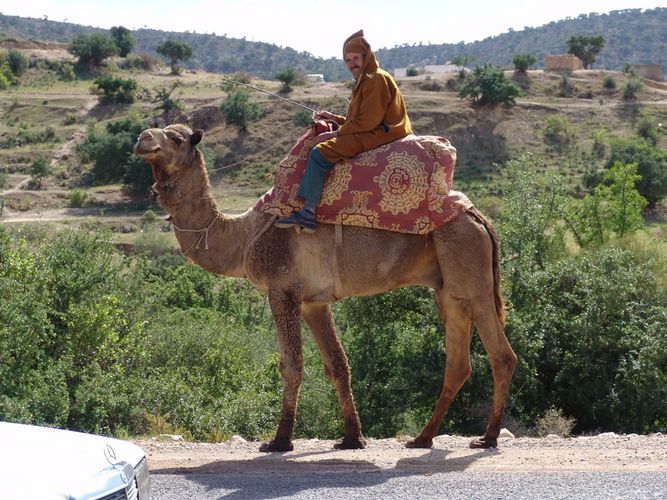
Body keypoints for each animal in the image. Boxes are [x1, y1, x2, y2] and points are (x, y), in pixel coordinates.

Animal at [134, 124, 516, 450]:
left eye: (176, 138)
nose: (142, 139)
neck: (242, 238)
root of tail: (478, 217)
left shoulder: (282, 289)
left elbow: (292, 365)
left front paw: (279, 441)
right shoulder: (312, 302)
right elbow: (337, 365)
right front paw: (352, 438)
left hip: (470, 268)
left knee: (501, 355)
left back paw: (487, 438)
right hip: (448, 287)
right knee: (459, 361)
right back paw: (423, 438)